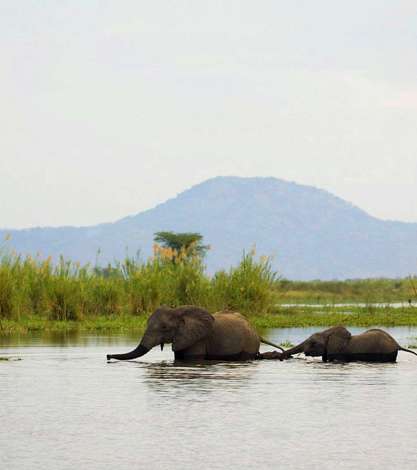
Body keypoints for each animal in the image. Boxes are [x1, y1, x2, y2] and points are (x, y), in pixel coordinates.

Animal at [106, 306, 282, 362]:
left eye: (164, 328)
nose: (108, 356)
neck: (178, 312)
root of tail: (257, 332)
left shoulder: (198, 339)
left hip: (249, 344)